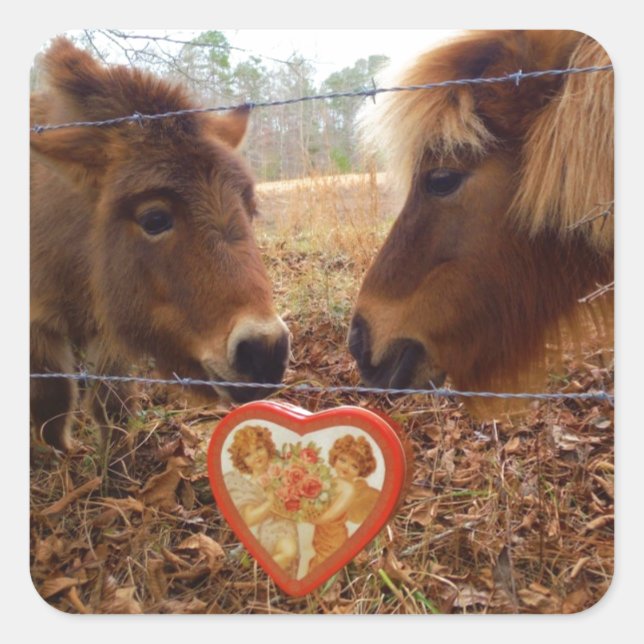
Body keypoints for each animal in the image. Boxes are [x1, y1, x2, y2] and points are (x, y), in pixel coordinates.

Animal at [30, 37, 290, 455]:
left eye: (250, 209)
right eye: (154, 219)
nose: (264, 351)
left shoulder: (110, 328)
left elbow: (112, 403)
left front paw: (116, 459)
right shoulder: (38, 326)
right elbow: (52, 404)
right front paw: (62, 456)